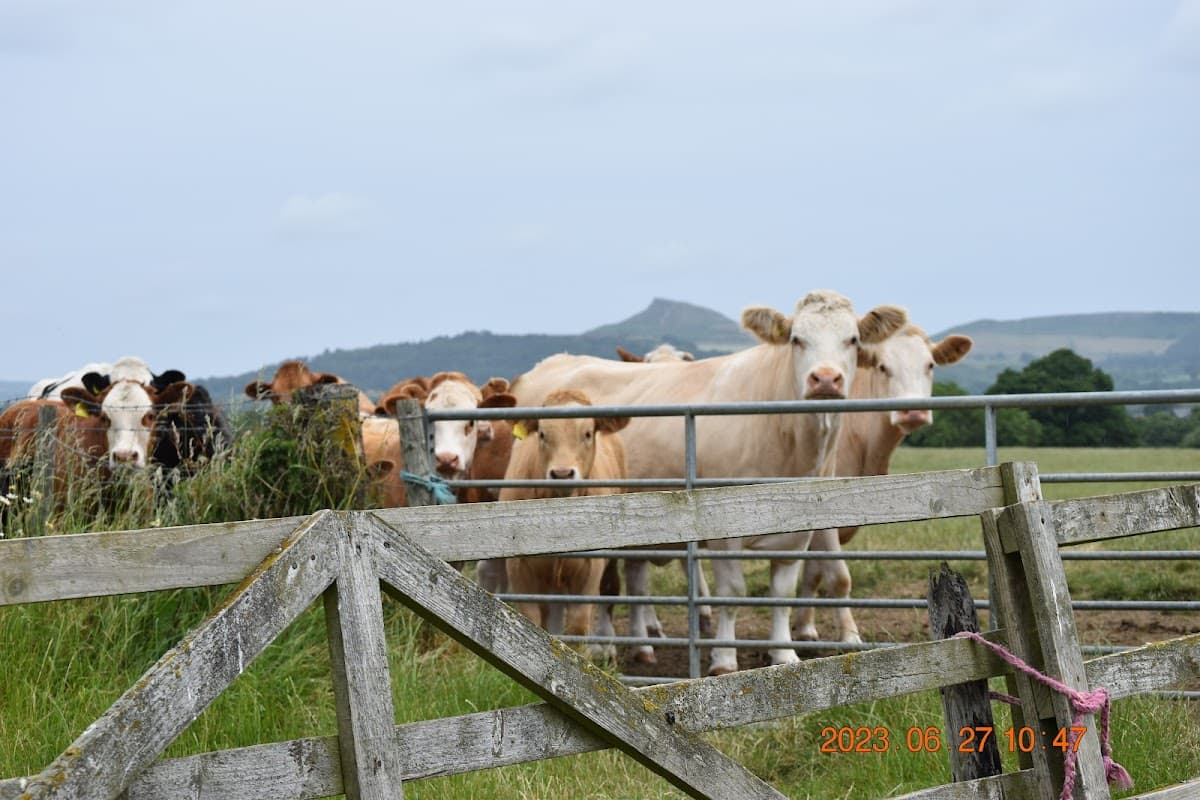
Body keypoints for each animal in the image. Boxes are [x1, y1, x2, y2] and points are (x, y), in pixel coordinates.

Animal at [500, 389, 629, 656]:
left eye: (587, 433)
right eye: (542, 434)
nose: (562, 473)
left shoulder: (588, 573)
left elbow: (578, 628)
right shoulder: (520, 571)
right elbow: (534, 620)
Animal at [794, 325, 972, 639]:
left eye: (930, 365)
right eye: (882, 367)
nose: (913, 411)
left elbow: (813, 573)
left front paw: (805, 627)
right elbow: (836, 576)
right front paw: (849, 635)